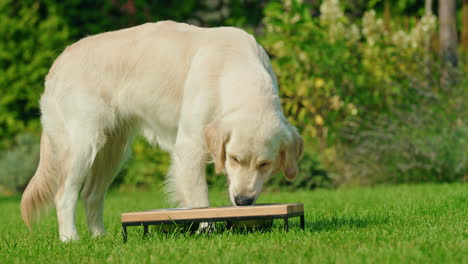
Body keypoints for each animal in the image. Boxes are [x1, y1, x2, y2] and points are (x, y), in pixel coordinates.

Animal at [21, 20, 304, 241]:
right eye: (234, 158)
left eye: (265, 164)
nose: (243, 201)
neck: (233, 66)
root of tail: (60, 59)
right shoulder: (190, 146)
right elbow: (200, 201)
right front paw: (207, 231)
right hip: (84, 144)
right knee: (64, 195)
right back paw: (70, 238)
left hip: (113, 151)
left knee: (91, 195)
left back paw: (100, 237)